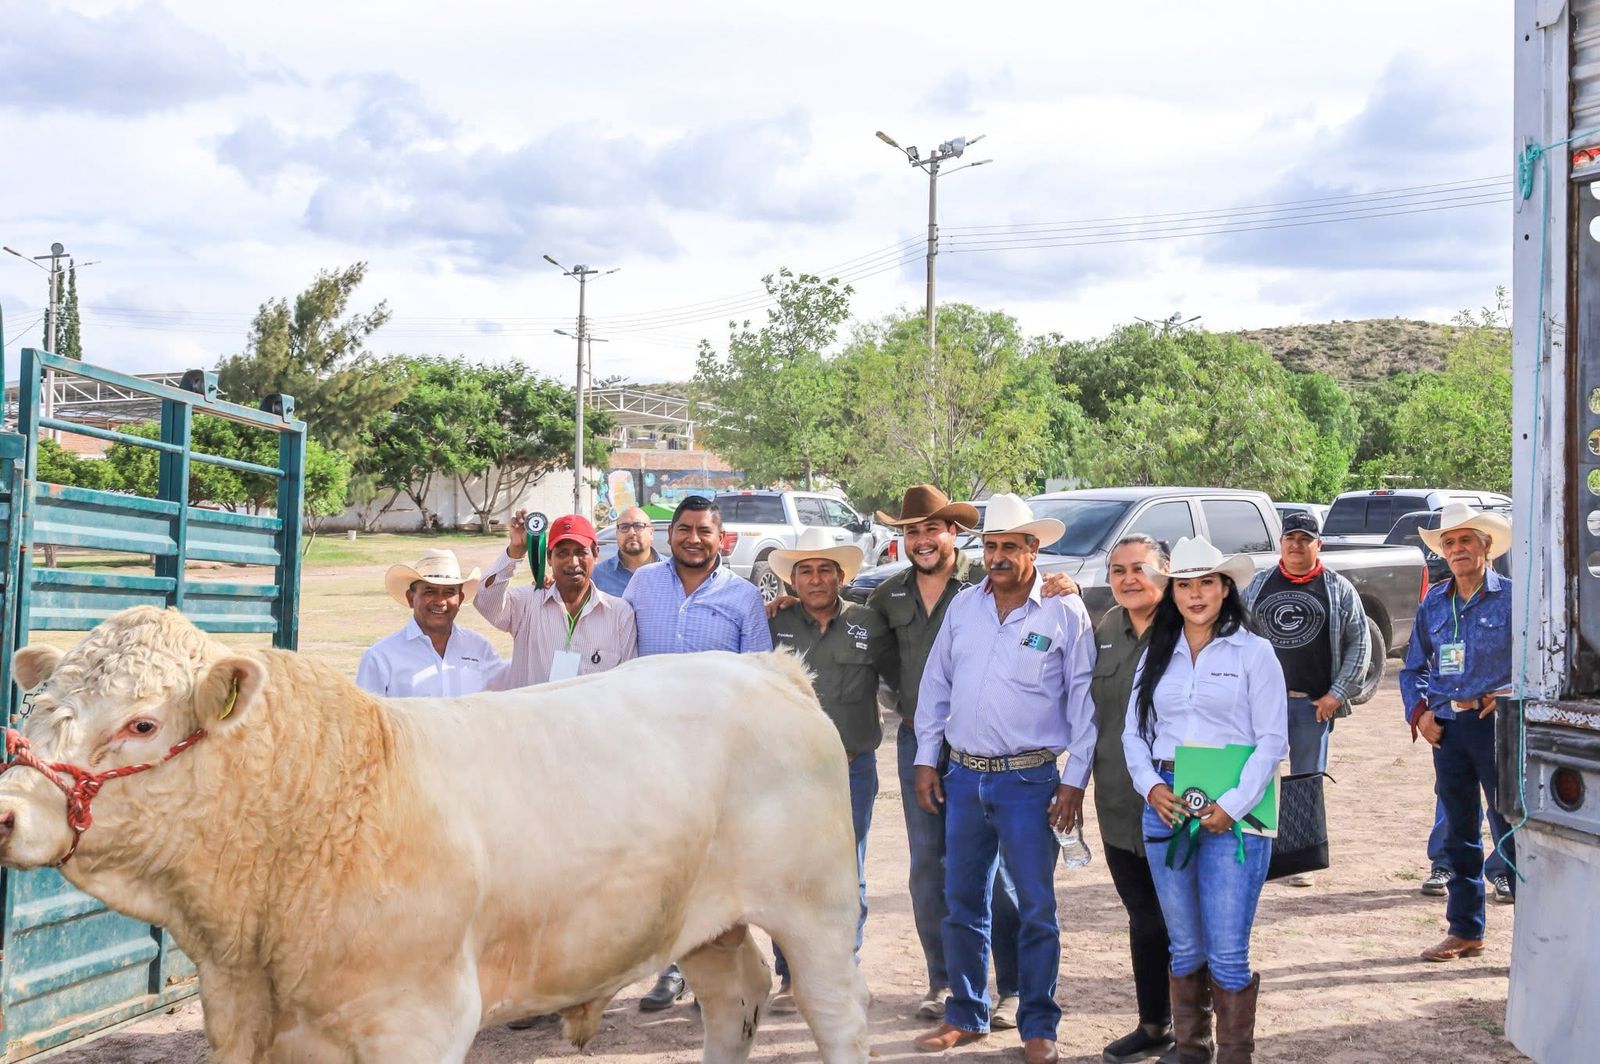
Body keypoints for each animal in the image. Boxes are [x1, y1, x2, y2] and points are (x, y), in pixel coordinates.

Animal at [0, 606, 870, 1063]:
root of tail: (767, 667)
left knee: (834, 1010)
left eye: (142, 723)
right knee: (736, 995)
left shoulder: (418, 1021)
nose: (6, 810)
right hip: (704, 921)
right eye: (36, 707)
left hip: (818, 910)